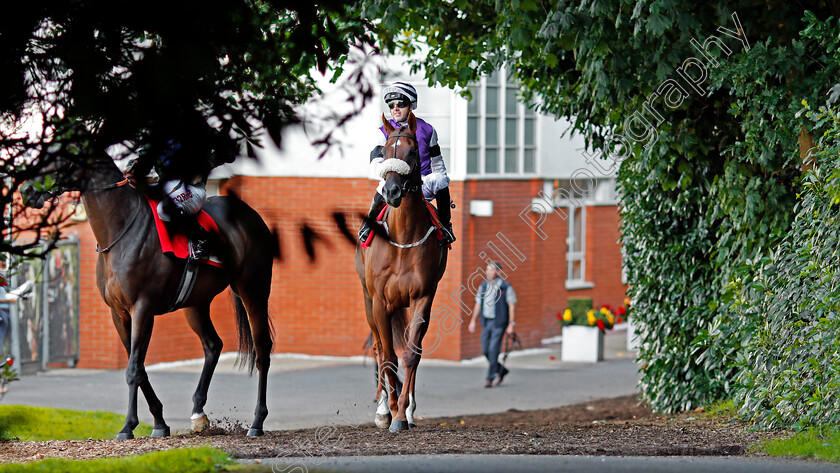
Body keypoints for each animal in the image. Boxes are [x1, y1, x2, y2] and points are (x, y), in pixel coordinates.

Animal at [23, 153, 276, 436]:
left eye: (61, 158)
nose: (25, 191)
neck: (121, 231)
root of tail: (249, 213)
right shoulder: (119, 314)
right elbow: (139, 366)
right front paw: (159, 423)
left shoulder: (142, 308)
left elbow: (134, 368)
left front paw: (128, 426)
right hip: (195, 303)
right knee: (213, 345)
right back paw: (198, 413)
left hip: (253, 290)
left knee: (262, 350)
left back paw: (257, 421)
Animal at [352, 111, 446, 432]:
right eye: (385, 151)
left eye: (412, 152)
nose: (392, 191)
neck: (403, 239)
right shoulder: (380, 301)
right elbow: (388, 355)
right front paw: (389, 410)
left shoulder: (423, 297)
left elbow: (411, 353)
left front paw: (403, 412)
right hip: (368, 300)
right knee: (379, 349)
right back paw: (383, 408)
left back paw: (407, 411)